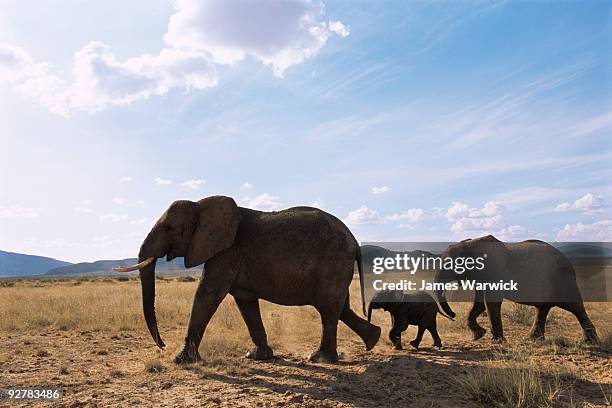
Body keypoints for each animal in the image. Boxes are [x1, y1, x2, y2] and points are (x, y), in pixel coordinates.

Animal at [114, 195, 380, 364]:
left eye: (170, 228)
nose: (163, 346)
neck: (202, 204)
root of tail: (355, 242)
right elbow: (245, 302)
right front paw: (258, 357)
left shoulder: (228, 250)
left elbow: (208, 294)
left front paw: (180, 361)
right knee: (339, 306)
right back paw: (373, 339)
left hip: (333, 260)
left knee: (327, 307)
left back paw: (320, 359)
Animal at [436, 234, 596, 342]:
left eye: (450, 265)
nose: (454, 314)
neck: (470, 243)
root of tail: (569, 263)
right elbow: (479, 304)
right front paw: (479, 336)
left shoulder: (494, 272)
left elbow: (491, 302)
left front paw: (497, 341)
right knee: (543, 309)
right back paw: (532, 339)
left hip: (562, 280)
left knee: (575, 307)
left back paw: (590, 341)